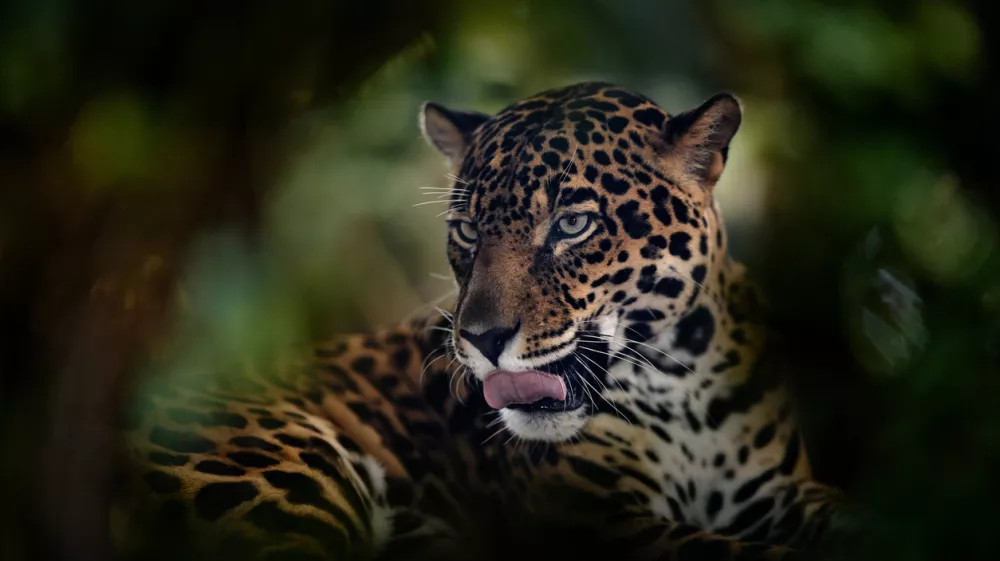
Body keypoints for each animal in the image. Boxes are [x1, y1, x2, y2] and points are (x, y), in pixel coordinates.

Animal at [112, 82, 850, 561]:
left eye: (572, 224)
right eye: (467, 230)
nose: (482, 340)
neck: (683, 384)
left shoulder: (776, 490)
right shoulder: (587, 520)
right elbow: (731, 553)